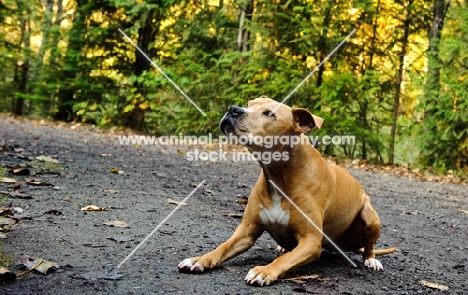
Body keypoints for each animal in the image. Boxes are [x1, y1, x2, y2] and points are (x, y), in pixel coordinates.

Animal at [178, 97, 394, 286]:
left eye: (269, 113)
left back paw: (371, 260)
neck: (280, 176)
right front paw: (200, 259)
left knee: (369, 246)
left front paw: (264, 271)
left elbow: (286, 260)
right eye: (249, 103)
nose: (233, 109)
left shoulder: (311, 241)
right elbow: (223, 247)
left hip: (370, 216)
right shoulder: (247, 230)